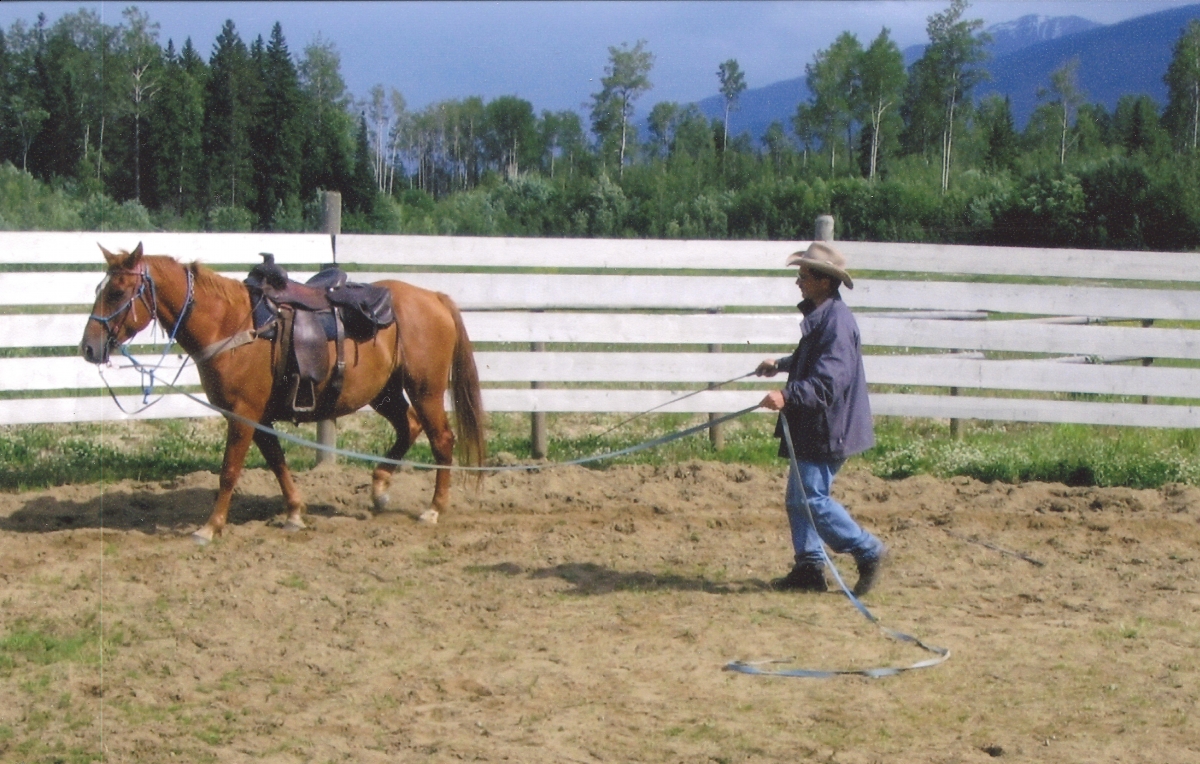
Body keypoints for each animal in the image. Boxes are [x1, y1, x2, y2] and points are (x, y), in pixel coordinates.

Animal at [80, 243, 486, 544]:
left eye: (117, 291)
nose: (88, 348)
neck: (232, 324)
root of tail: (434, 297)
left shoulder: (243, 413)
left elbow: (229, 471)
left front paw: (210, 527)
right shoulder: (257, 416)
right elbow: (277, 462)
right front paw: (294, 512)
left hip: (425, 389)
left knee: (441, 439)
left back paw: (434, 508)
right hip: (384, 392)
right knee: (409, 427)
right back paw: (380, 488)